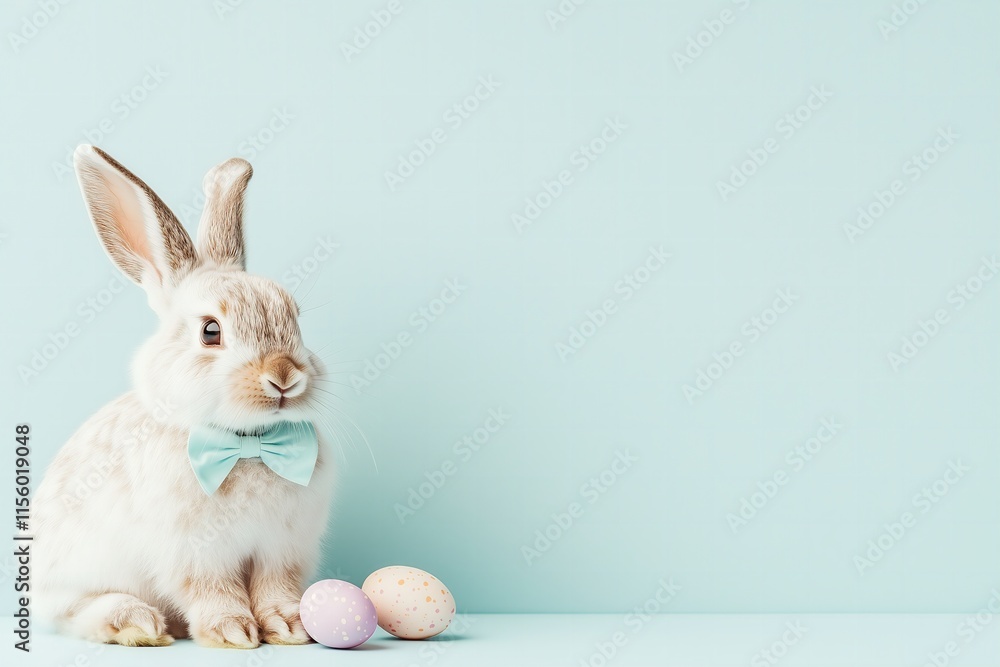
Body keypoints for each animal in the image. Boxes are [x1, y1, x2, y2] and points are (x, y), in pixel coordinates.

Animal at [33, 145, 337, 648]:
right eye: (210, 331)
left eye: (294, 318)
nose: (284, 376)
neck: (247, 444)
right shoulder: (195, 553)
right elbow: (213, 589)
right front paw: (232, 632)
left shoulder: (281, 549)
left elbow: (277, 587)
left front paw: (290, 626)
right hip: (76, 575)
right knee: (71, 612)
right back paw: (136, 623)